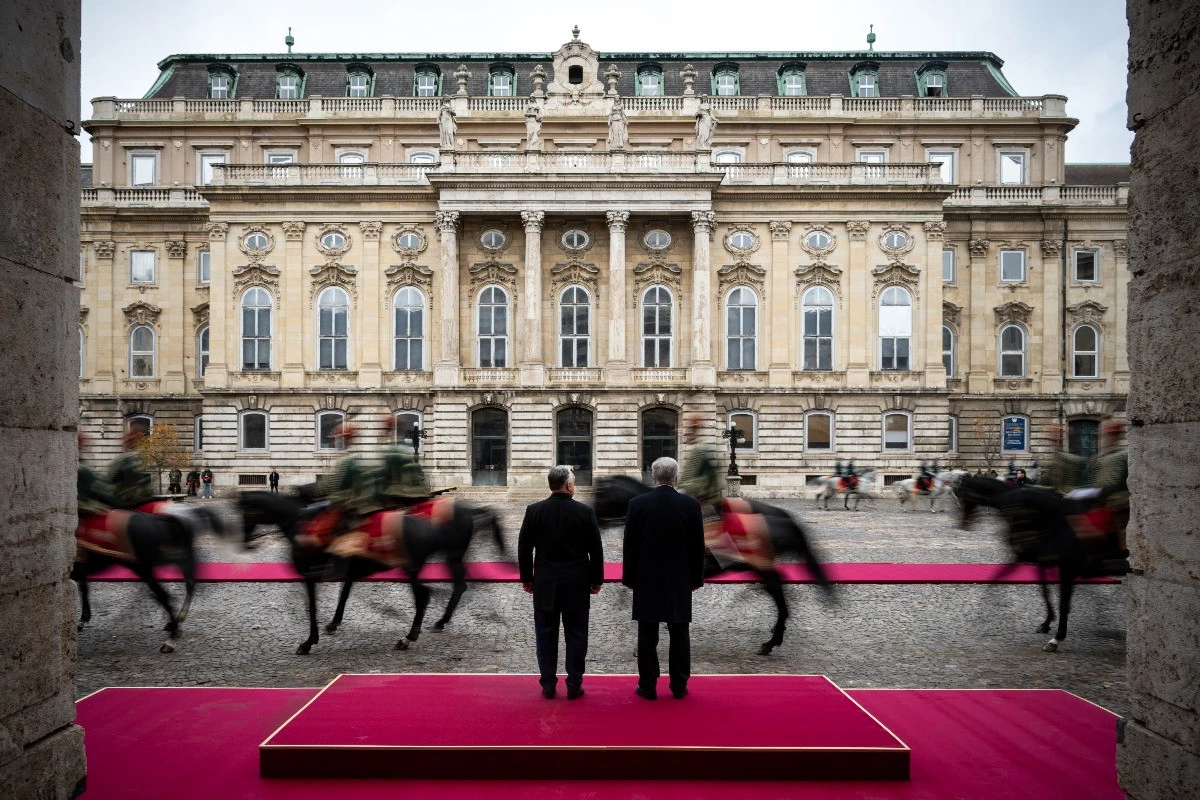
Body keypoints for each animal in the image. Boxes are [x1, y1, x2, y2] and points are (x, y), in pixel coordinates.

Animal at [73, 506, 224, 657]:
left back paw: (171, 638)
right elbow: (84, 589)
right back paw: (176, 621)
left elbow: (82, 589)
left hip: (144, 567)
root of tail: (157, 519)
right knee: (188, 579)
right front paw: (82, 619)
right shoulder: (80, 571)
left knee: (166, 595)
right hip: (162, 558)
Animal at [236, 494, 504, 657]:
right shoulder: (349, 571)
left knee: (428, 594)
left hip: (425, 564)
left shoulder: (311, 576)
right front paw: (333, 623)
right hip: (446, 558)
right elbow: (343, 595)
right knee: (458, 585)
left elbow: (312, 607)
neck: (299, 523)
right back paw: (440, 621)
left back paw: (411, 636)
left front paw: (309, 641)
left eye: (245, 514)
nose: (245, 543)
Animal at [592, 474, 830, 657]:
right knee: (778, 589)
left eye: (600, 496)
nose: (595, 520)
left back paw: (771, 640)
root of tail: (781, 517)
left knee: (777, 591)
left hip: (761, 565)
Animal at [950, 474, 1128, 652]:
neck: (1052, 522)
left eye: (961, 494)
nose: (963, 524)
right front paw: (1046, 622)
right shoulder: (1037, 560)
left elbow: (1063, 601)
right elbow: (1042, 590)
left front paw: (1057, 638)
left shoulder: (1065, 568)